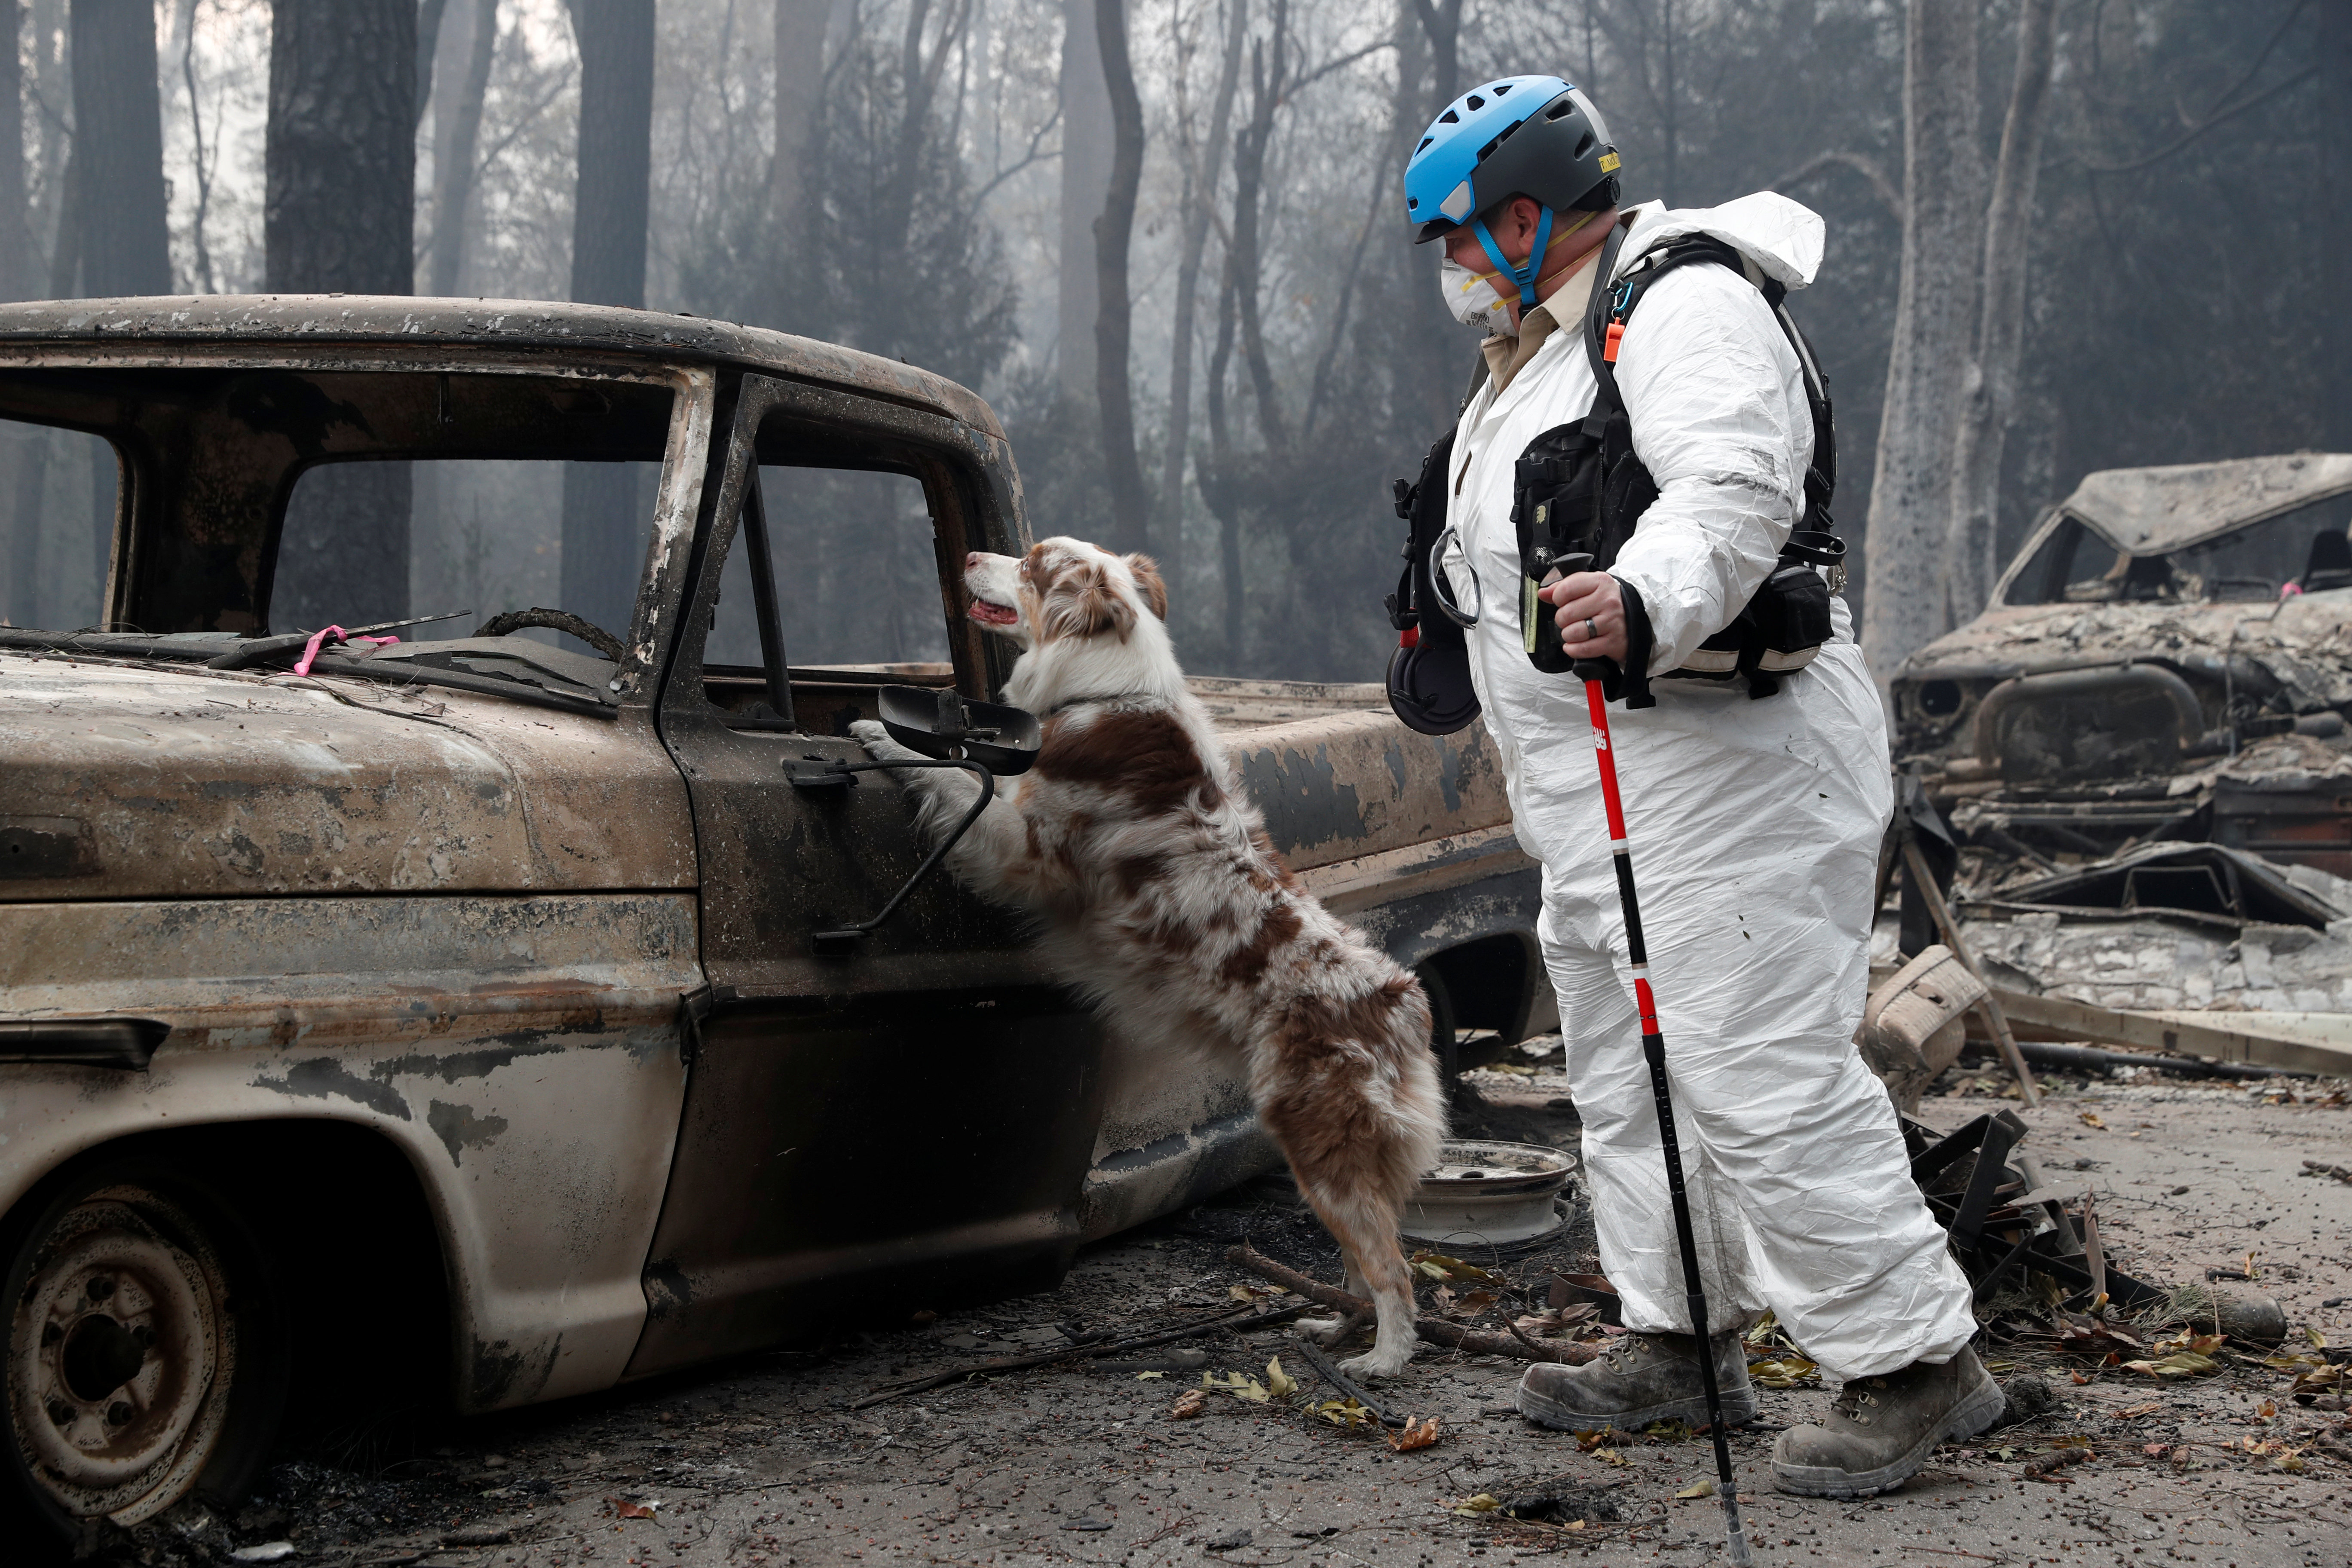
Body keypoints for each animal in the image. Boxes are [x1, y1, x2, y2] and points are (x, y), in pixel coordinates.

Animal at [856, 543, 1449, 1382]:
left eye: (1031, 563)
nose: (970, 554)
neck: (1111, 680)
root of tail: (1399, 1001)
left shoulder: (1029, 853)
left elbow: (954, 776)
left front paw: (881, 734)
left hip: (1317, 1143)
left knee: (1392, 1269)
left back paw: (1384, 1360)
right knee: (1360, 1266)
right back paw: (1336, 1334)